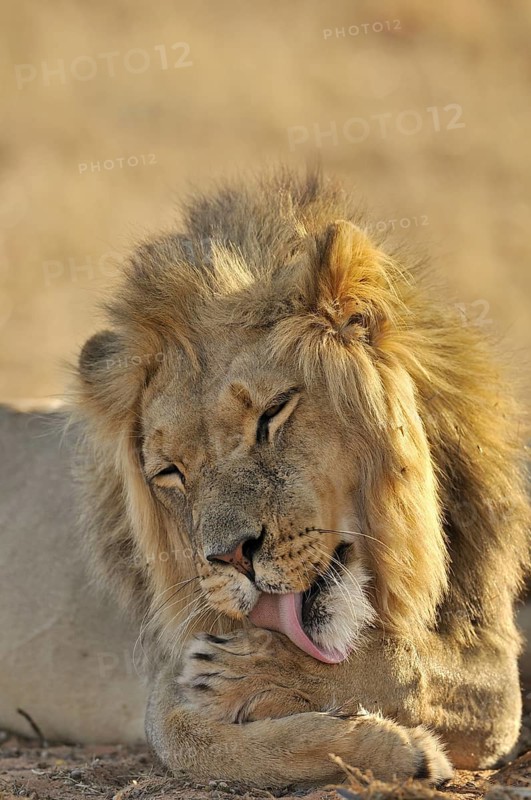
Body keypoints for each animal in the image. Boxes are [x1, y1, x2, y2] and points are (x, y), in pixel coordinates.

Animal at [1, 168, 529, 786]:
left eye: (272, 414)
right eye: (170, 472)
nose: (232, 556)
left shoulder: (495, 669)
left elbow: (406, 667)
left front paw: (256, 672)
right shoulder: (169, 688)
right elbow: (203, 745)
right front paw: (398, 751)